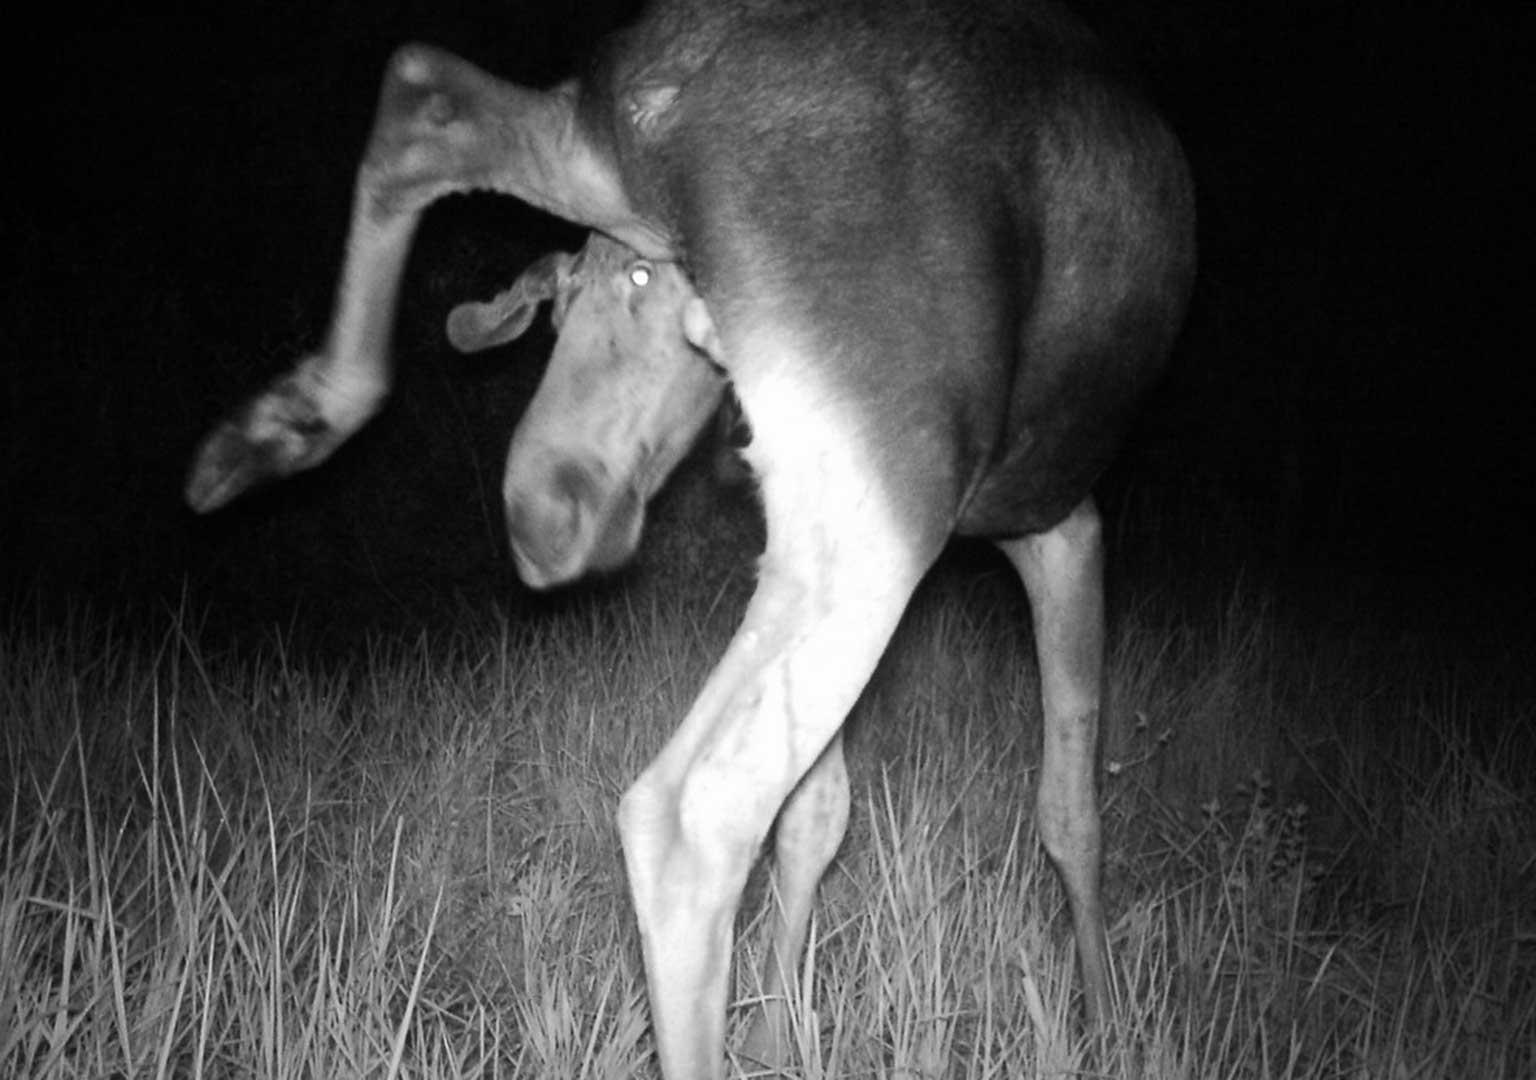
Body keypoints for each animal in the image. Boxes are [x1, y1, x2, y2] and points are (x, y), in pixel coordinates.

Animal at [185, 0, 1198, 1075]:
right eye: (555, 315)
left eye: (638, 282)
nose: (537, 516)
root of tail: (690, 72)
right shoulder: (1064, 522)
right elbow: (1069, 812)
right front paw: (1107, 1021)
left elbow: (824, 818)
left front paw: (776, 1027)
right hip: (892, 489)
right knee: (692, 819)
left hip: (611, 174)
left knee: (428, 88)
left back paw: (280, 423)